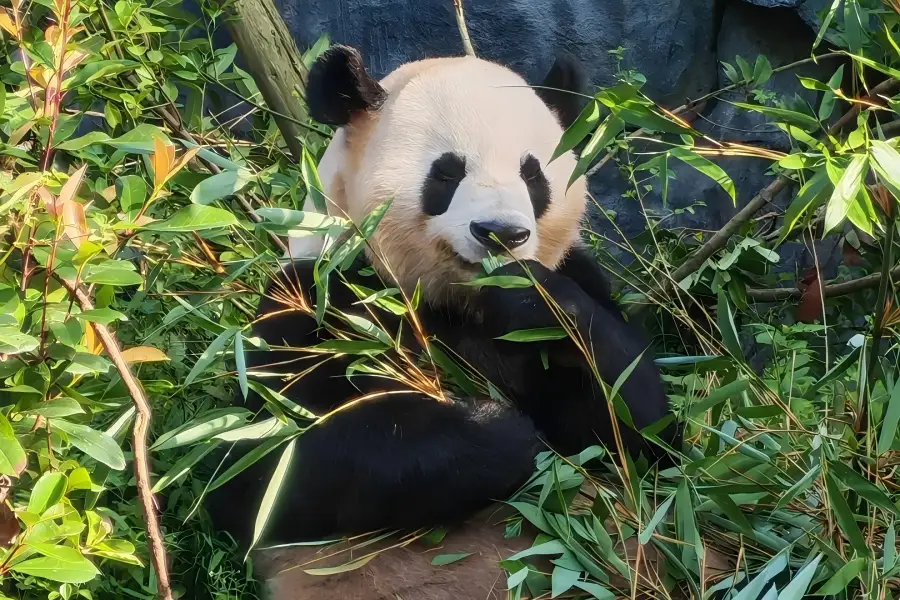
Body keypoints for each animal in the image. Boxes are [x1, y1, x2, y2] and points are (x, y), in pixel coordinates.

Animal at [207, 44, 680, 563]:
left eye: (532, 173)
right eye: (447, 172)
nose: (501, 233)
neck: (454, 299)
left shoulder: (580, 278)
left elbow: (638, 433)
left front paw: (528, 297)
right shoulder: (314, 299)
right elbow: (260, 466)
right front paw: (498, 427)